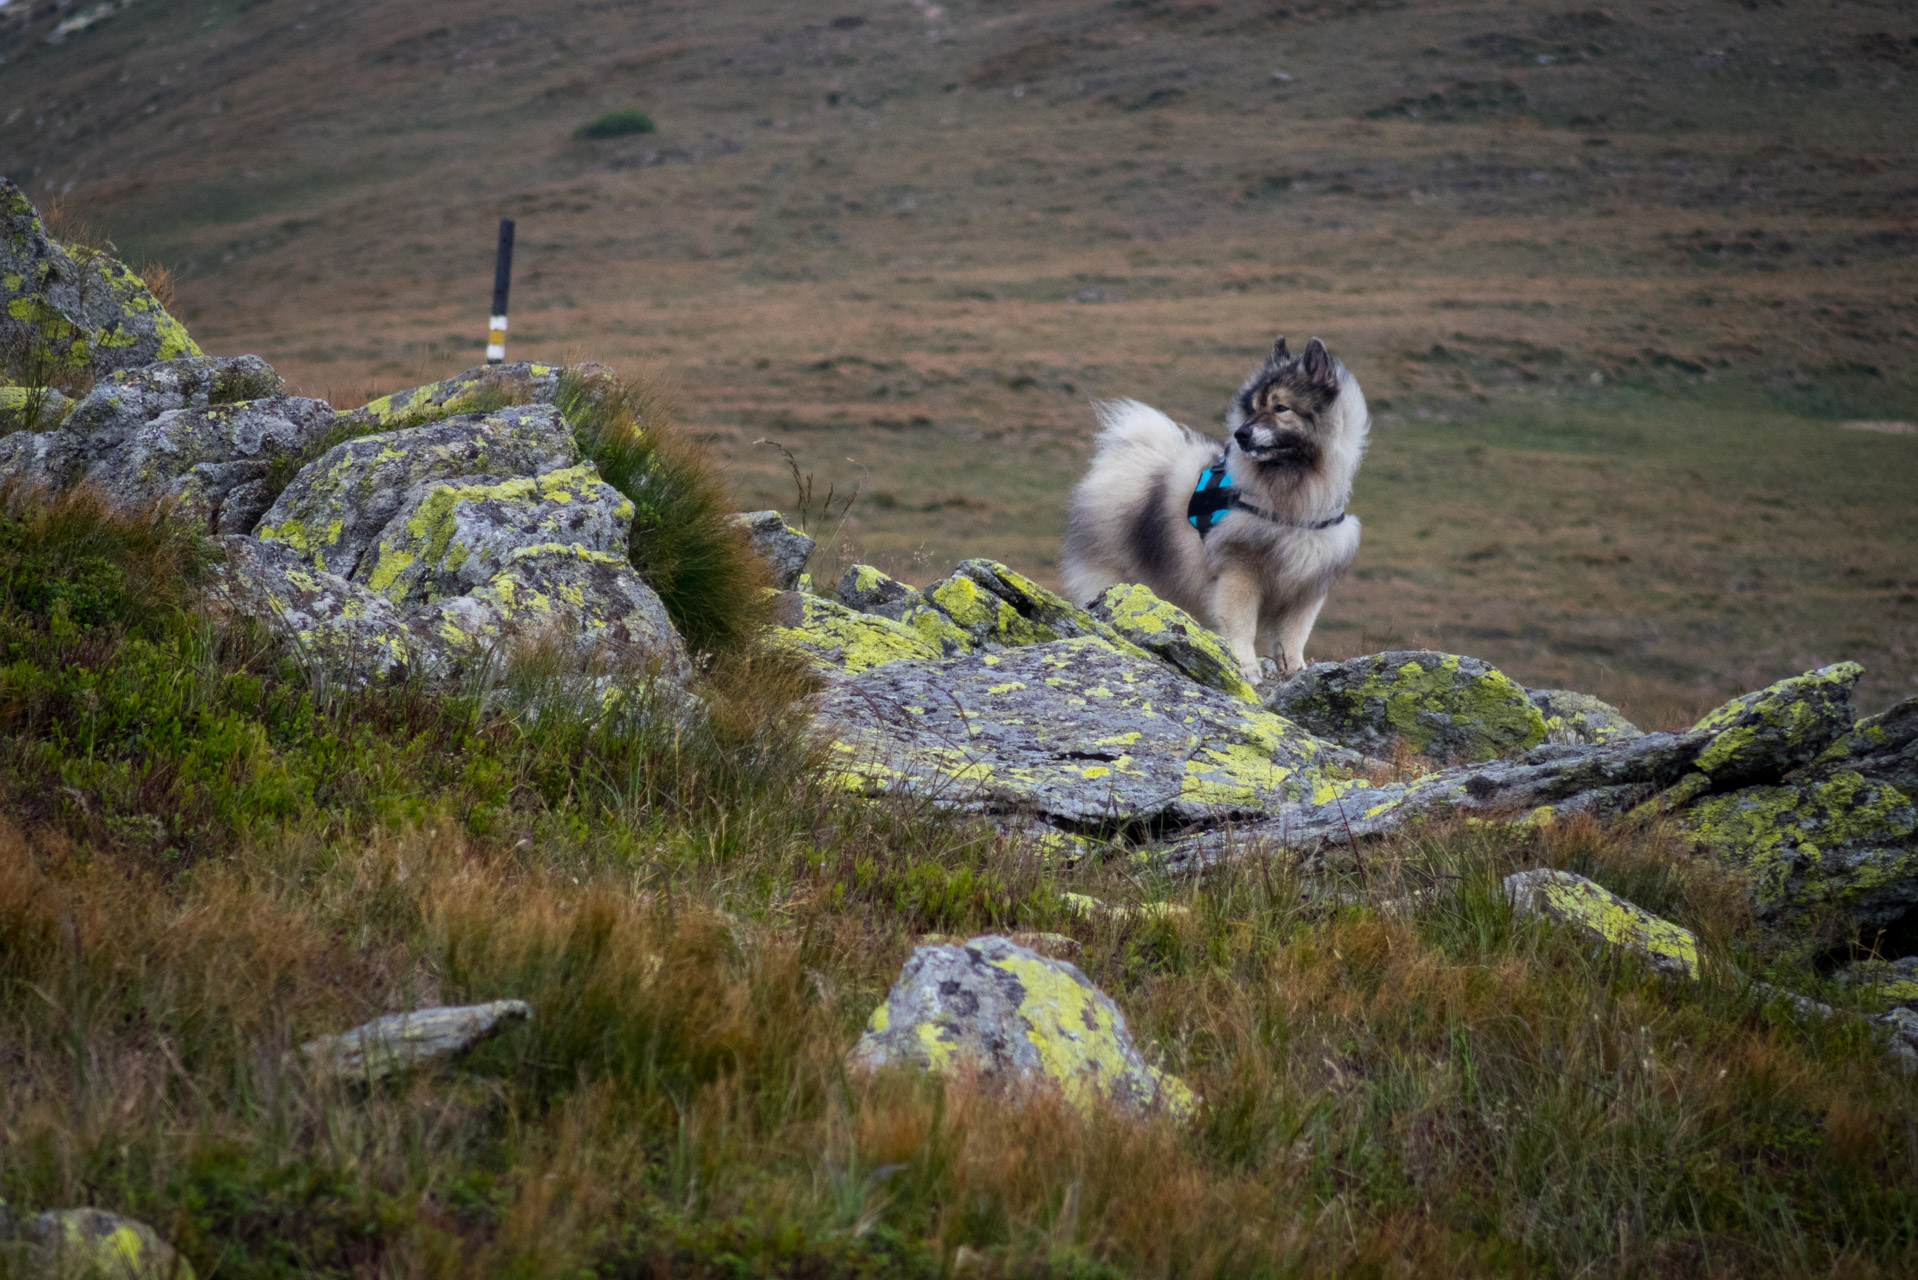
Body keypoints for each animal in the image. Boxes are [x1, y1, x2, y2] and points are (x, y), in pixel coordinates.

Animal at [1058, 335, 1373, 687]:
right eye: (1253, 408)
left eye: (1281, 407)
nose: (1241, 434)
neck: (1292, 500)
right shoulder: (1240, 572)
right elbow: (1241, 627)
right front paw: (1247, 669)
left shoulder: (1307, 585)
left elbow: (1293, 636)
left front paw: (1295, 670)